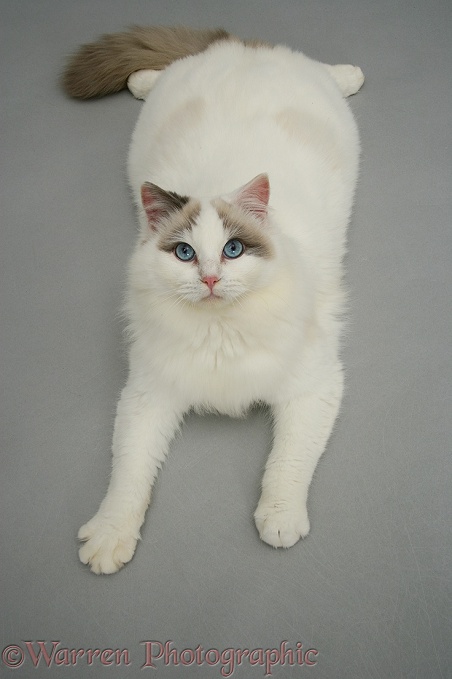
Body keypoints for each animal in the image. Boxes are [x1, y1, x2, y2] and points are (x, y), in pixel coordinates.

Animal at [62, 23, 364, 572]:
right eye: (185, 253)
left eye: (233, 249)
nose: (208, 278)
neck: (220, 330)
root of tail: (240, 46)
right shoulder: (148, 395)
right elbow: (128, 475)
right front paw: (111, 538)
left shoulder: (314, 385)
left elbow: (288, 462)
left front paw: (280, 521)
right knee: (163, 70)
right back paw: (140, 80)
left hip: (310, 80)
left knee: (323, 68)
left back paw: (351, 75)